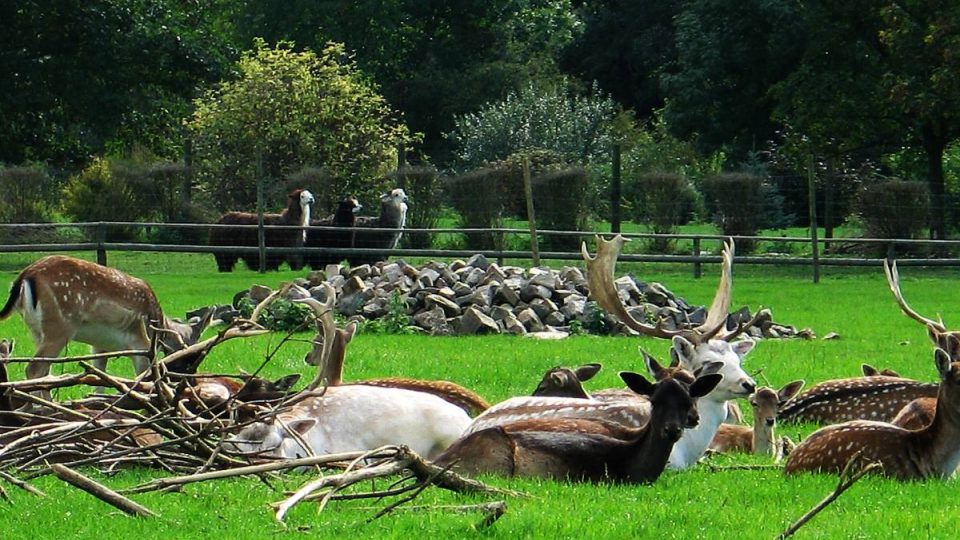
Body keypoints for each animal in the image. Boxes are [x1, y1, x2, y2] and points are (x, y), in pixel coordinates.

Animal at [0, 255, 210, 398]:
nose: (193, 384)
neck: (158, 327)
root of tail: (25, 276)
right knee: (34, 368)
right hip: (60, 326)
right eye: (189, 360)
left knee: (44, 371)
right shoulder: (141, 344)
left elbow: (100, 378)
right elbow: (142, 377)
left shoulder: (99, 346)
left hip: (36, 331)